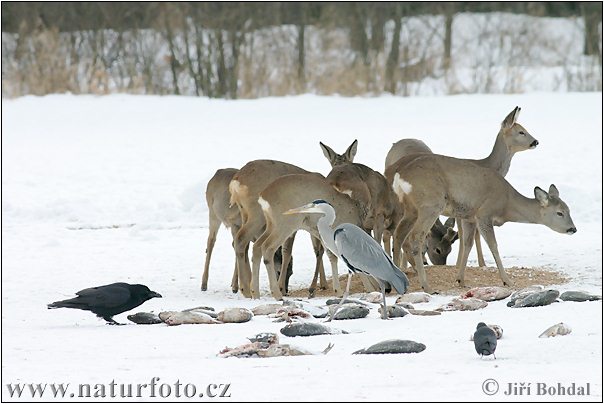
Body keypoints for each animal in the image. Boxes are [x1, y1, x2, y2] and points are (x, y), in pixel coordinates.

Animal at [390, 153, 580, 292]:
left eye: (569, 209)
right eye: (560, 213)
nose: (573, 229)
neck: (507, 203)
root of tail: (400, 177)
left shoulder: (469, 217)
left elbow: (467, 245)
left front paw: (461, 280)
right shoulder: (484, 214)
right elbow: (494, 246)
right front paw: (507, 281)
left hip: (410, 208)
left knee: (399, 235)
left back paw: (398, 279)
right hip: (430, 204)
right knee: (415, 237)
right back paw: (426, 286)